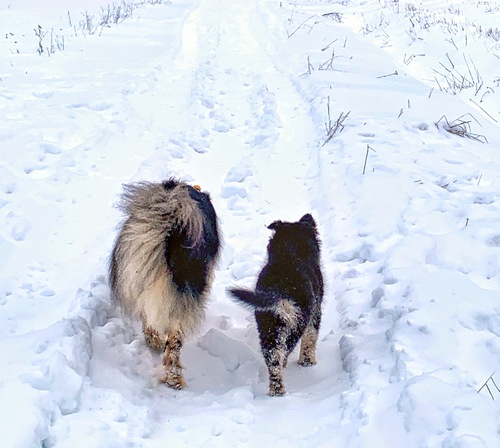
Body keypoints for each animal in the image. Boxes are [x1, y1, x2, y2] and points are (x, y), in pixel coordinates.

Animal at [109, 178, 221, 388]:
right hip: (182, 297)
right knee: (175, 342)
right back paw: (174, 377)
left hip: (138, 281)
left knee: (150, 322)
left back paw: (157, 347)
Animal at [228, 214, 324, 396]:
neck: (289, 250)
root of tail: (280, 290)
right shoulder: (316, 311)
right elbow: (310, 338)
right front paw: (308, 362)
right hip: (295, 324)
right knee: (284, 352)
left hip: (267, 327)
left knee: (273, 360)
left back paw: (276, 390)